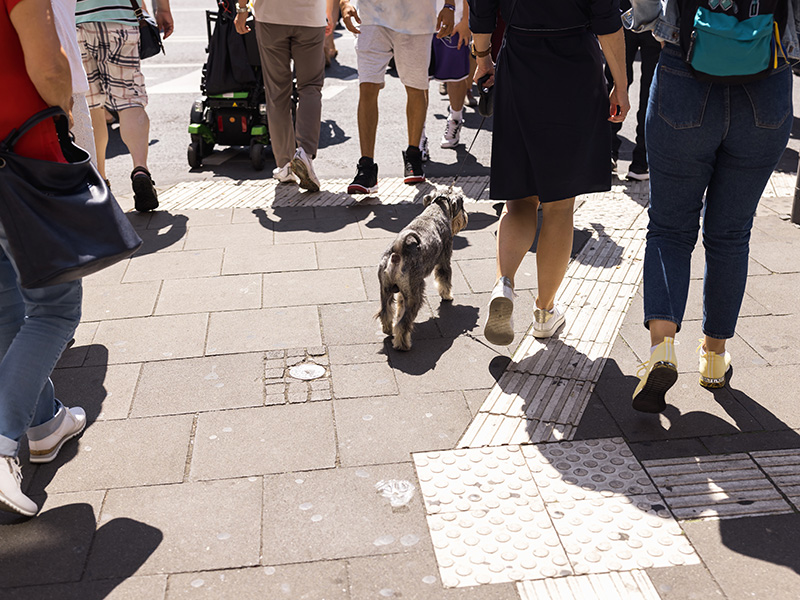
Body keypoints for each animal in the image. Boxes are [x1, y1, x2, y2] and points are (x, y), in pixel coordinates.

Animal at [376, 190, 468, 352]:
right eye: (462, 206)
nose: (465, 217)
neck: (437, 209)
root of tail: (398, 251)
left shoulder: (402, 292)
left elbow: (400, 304)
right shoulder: (444, 261)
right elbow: (445, 281)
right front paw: (447, 296)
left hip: (385, 290)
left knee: (385, 311)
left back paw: (388, 329)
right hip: (415, 294)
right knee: (403, 324)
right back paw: (403, 345)